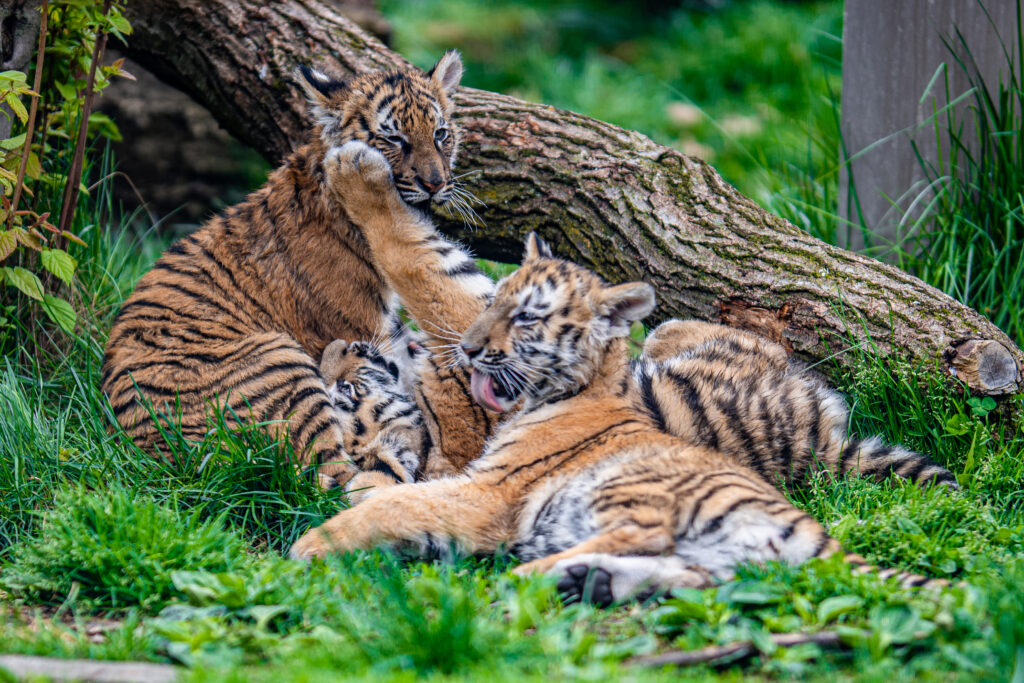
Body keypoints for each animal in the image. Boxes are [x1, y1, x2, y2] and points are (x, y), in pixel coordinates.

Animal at [100, 50, 495, 487]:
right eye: (394, 139)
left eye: (440, 133)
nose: (435, 184)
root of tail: (157, 457)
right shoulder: (366, 331)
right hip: (281, 362)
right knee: (337, 479)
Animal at [289, 233, 948, 604]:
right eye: (498, 303)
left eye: (524, 315)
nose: (469, 349)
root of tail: (809, 523)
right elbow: (392, 497)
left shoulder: (486, 490)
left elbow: (391, 502)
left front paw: (309, 545)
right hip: (715, 554)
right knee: (691, 574)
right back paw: (584, 580)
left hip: (633, 486)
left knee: (644, 533)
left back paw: (534, 573)